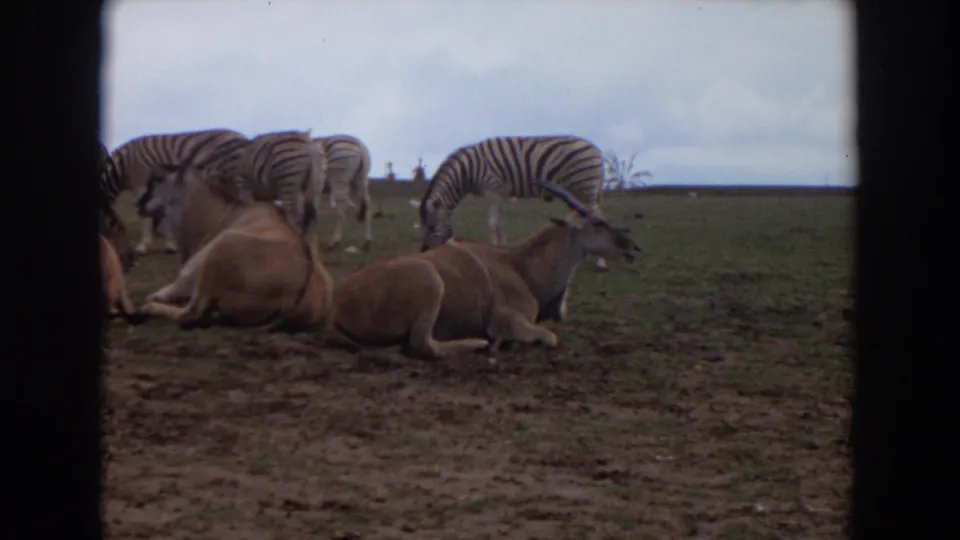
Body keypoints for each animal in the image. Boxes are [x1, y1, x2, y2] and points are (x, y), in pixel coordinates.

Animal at [108, 128, 249, 255]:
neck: (121, 168)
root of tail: (242, 137)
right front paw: (169, 243)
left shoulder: (142, 182)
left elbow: (148, 216)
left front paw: (144, 246)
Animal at [417, 135, 610, 268]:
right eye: (424, 227)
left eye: (432, 227)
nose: (424, 251)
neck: (468, 171)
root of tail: (596, 150)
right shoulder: (500, 194)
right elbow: (500, 224)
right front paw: (502, 249)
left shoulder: (492, 190)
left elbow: (493, 224)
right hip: (578, 190)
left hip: (585, 188)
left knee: (597, 217)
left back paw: (601, 260)